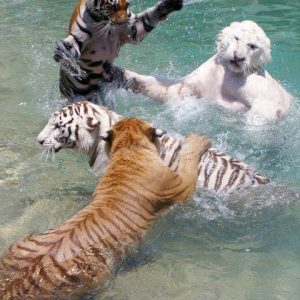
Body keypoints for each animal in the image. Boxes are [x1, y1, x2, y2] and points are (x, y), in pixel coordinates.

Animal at [55, 0, 184, 102]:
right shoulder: (78, 37)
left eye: (127, 5)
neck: (103, 22)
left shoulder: (133, 29)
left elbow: (149, 16)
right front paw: (62, 51)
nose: (124, 21)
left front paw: (170, 4)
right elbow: (72, 46)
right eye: (112, 6)